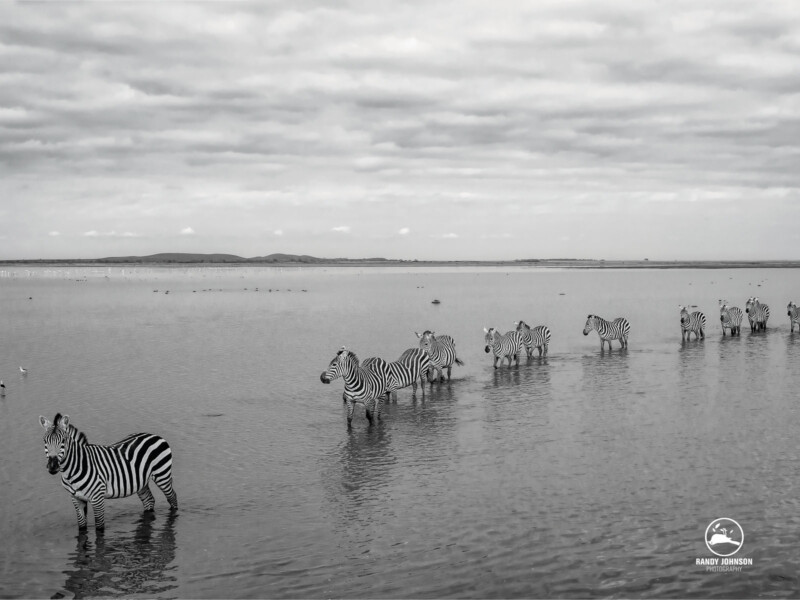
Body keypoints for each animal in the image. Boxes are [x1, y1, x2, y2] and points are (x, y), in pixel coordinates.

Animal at [39, 412, 178, 528]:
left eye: (63, 441)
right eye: (45, 441)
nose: (52, 466)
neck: (72, 471)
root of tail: (155, 435)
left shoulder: (97, 498)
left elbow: (100, 529)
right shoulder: (76, 499)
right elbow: (82, 527)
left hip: (162, 475)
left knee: (172, 497)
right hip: (141, 481)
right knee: (149, 500)